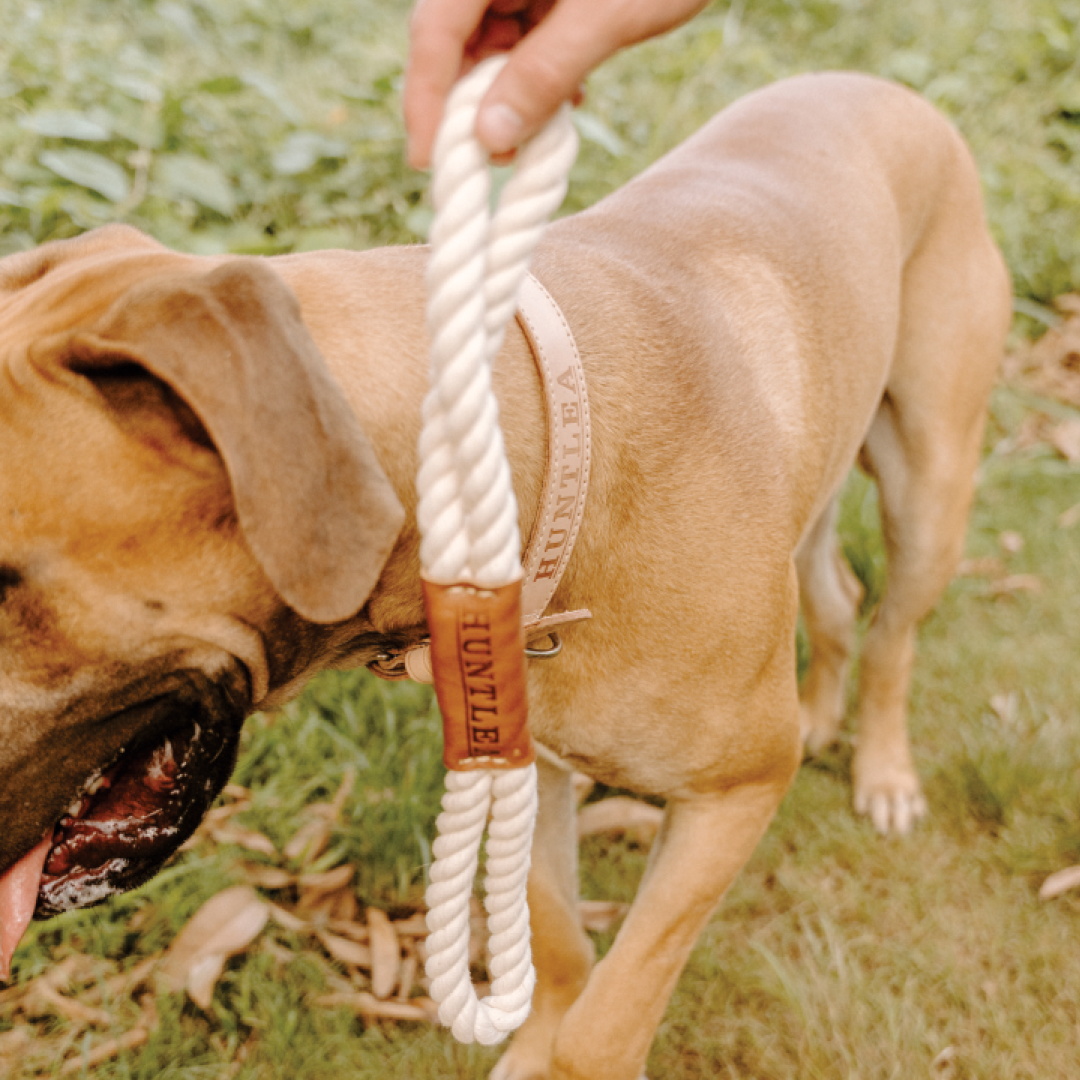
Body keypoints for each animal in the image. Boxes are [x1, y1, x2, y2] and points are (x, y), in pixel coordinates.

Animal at [0, 76, 1010, 1080]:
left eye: (6, 580)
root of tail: (882, 87)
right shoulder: (528, 764)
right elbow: (557, 935)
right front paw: (535, 1039)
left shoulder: (733, 798)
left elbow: (610, 1017)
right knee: (840, 597)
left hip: (929, 485)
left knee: (894, 632)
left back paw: (883, 767)